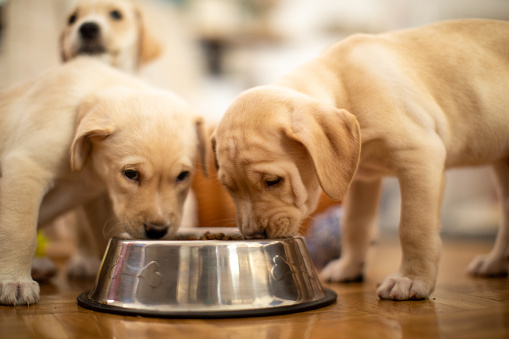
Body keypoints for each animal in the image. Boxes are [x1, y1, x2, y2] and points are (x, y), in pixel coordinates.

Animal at [212, 20, 508, 302]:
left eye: (273, 181)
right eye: (228, 188)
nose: (253, 236)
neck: (344, 85)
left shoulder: (420, 155)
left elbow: (413, 227)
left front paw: (411, 279)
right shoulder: (361, 178)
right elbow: (355, 224)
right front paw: (350, 267)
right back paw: (496, 263)